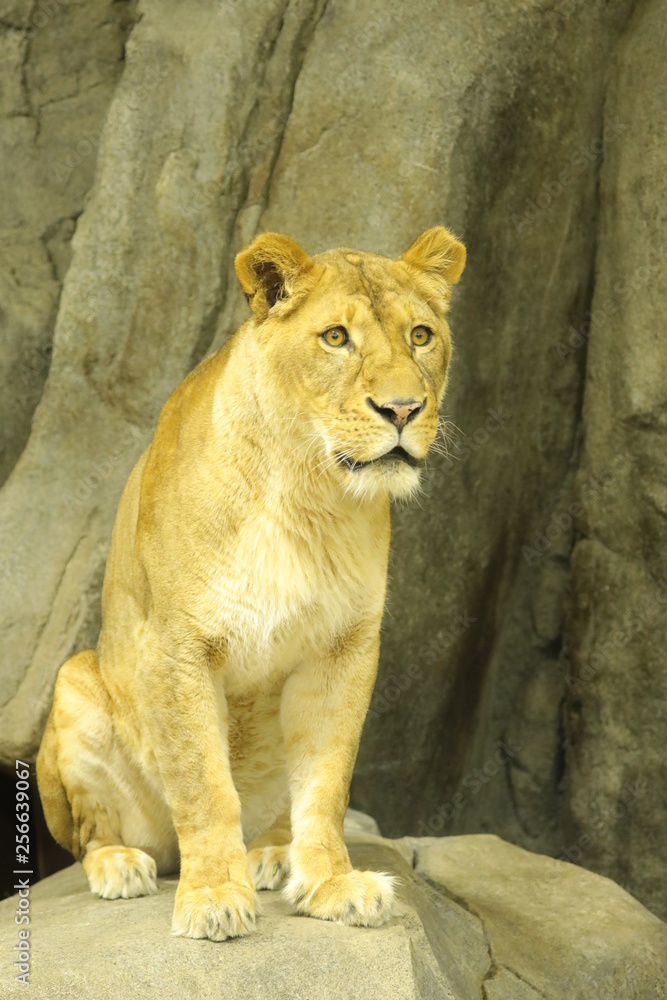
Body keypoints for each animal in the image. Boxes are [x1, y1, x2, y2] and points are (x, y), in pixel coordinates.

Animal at [36, 225, 465, 940]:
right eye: (336, 338)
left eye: (422, 335)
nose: (404, 409)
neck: (306, 491)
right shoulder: (175, 647)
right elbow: (203, 785)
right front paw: (213, 896)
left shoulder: (344, 646)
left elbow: (326, 783)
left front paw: (332, 885)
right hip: (76, 682)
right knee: (95, 835)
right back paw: (121, 866)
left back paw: (271, 853)